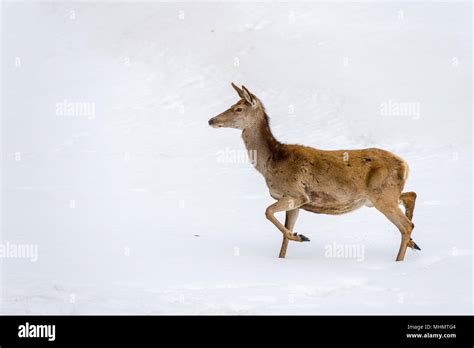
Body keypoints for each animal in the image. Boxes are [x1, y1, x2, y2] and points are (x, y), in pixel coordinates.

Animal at [207, 83, 418, 260]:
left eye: (238, 109)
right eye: (233, 104)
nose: (211, 120)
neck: (269, 164)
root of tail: (405, 165)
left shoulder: (296, 193)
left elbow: (267, 212)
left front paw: (301, 237)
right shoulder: (294, 202)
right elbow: (284, 236)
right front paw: (285, 253)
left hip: (382, 195)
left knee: (405, 225)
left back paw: (399, 261)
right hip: (380, 196)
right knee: (410, 197)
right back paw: (413, 244)